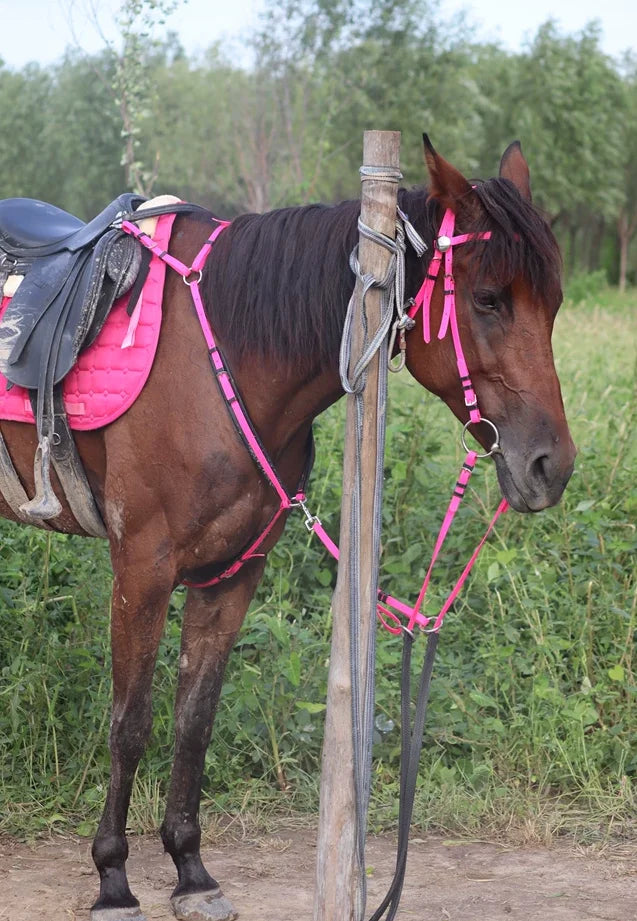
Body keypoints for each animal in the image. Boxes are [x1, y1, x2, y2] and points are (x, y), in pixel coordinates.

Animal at [0, 137, 575, 921]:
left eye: (552, 304)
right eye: (487, 299)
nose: (552, 466)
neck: (223, 357)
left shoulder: (234, 572)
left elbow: (194, 718)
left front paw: (191, 871)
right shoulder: (141, 565)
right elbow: (130, 721)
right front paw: (114, 880)